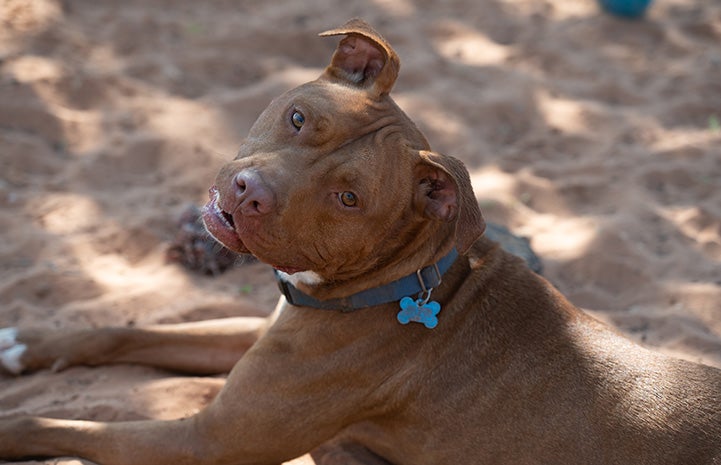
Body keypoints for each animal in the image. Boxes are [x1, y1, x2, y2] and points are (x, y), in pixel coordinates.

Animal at [1, 18, 720, 464]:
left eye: (349, 198)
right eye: (298, 118)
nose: (248, 192)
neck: (406, 281)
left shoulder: (206, 439)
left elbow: (59, 424)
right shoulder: (265, 329)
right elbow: (126, 331)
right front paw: (22, 344)